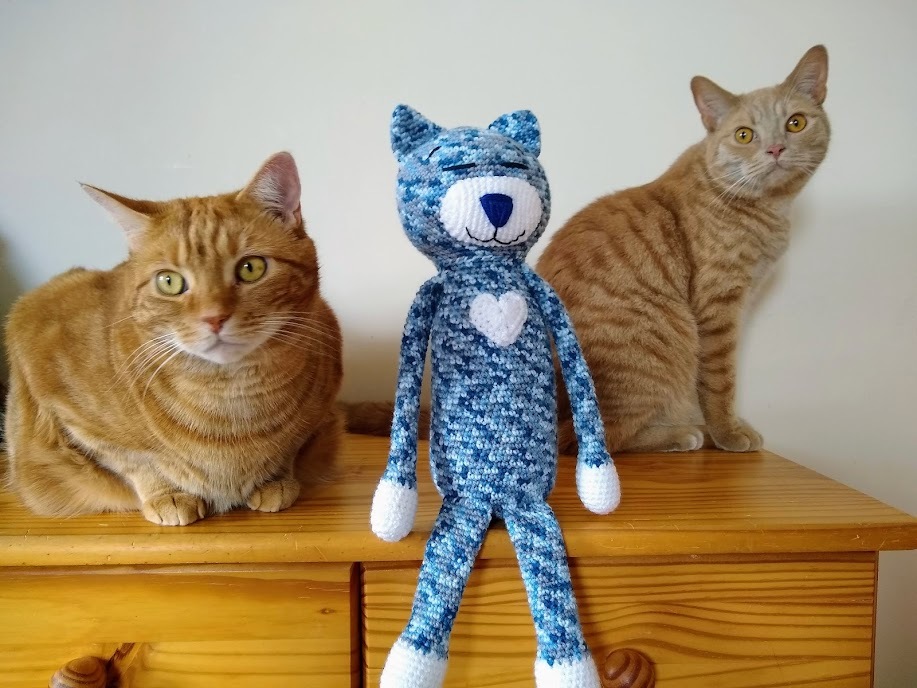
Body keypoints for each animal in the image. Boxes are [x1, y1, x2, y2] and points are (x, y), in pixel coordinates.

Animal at [3, 152, 344, 528]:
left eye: (251, 268)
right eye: (169, 282)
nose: (214, 318)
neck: (232, 401)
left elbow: (291, 447)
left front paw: (276, 479)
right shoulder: (51, 377)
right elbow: (134, 460)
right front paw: (166, 493)